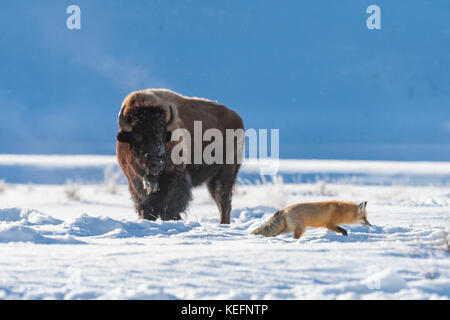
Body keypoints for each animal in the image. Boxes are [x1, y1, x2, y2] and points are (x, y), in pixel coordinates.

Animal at [116, 89, 243, 225]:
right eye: (137, 135)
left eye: (162, 134)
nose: (156, 160)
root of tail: (237, 118)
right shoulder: (135, 181)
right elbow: (146, 207)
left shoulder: (175, 176)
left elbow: (169, 206)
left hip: (226, 172)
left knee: (224, 201)